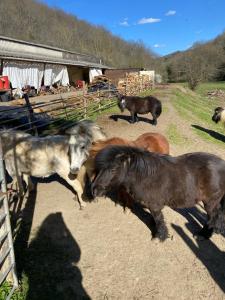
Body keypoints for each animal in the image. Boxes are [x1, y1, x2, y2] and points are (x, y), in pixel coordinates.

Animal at [90, 145, 225, 241]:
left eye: (113, 169)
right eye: (98, 168)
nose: (94, 190)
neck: (146, 176)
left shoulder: (154, 205)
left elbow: (158, 219)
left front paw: (159, 236)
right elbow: (156, 219)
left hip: (210, 202)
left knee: (212, 217)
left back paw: (203, 235)